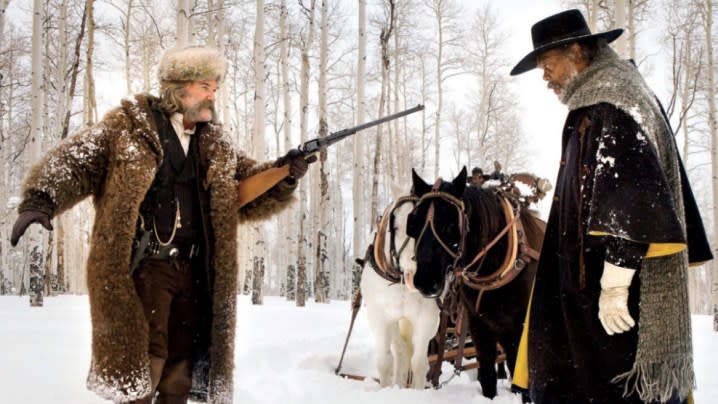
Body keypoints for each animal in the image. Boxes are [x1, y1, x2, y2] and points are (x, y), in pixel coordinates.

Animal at [358, 194, 442, 390]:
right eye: (395, 227)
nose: (416, 277)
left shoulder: (427, 318)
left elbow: (419, 363)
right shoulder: (379, 317)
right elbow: (384, 362)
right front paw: (386, 389)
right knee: (401, 349)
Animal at [404, 166, 544, 398]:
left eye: (451, 225)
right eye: (413, 225)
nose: (424, 281)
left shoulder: (521, 329)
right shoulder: (480, 325)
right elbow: (487, 376)